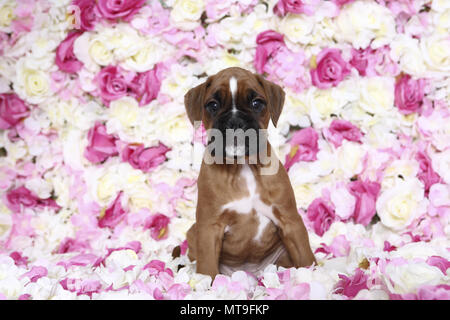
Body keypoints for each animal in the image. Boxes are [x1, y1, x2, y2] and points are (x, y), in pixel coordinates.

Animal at [181, 67, 314, 280]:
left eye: (256, 103)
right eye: (213, 105)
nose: (235, 122)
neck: (242, 165)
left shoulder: (290, 221)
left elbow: (306, 257)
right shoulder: (208, 228)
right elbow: (208, 268)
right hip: (193, 233)